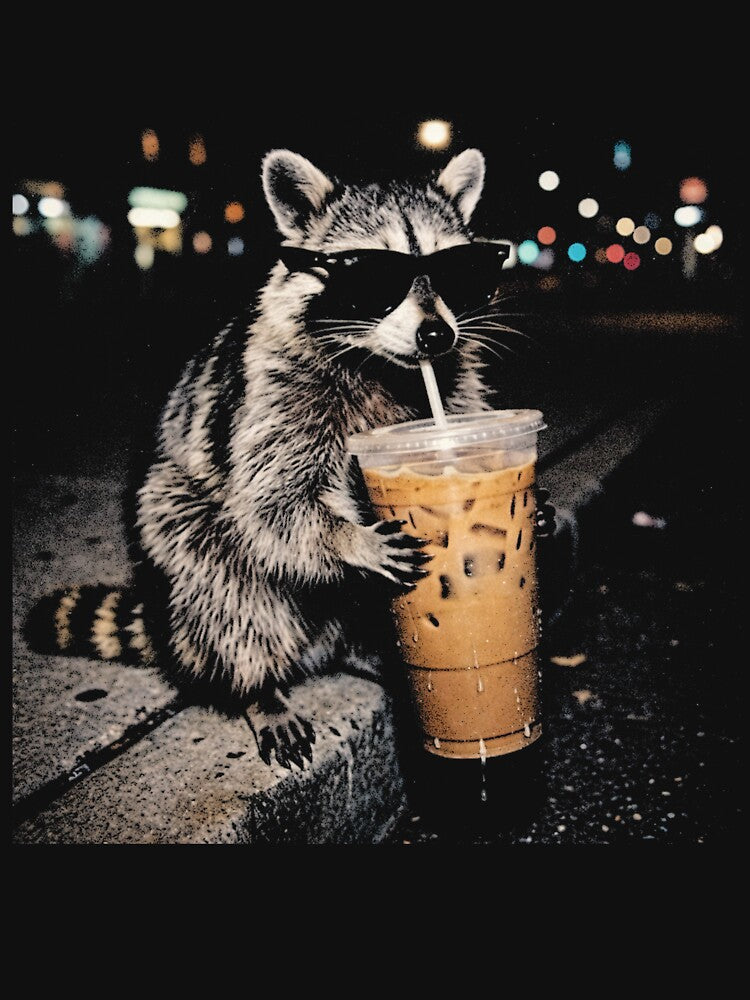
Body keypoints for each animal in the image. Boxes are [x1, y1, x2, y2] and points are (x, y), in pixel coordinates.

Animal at [27, 148, 555, 770]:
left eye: (458, 272)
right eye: (371, 275)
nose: (435, 335)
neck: (384, 365)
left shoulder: (453, 386)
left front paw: (538, 511)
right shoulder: (275, 395)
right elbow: (272, 500)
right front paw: (348, 538)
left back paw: (366, 654)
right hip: (177, 520)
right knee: (223, 579)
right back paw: (259, 688)